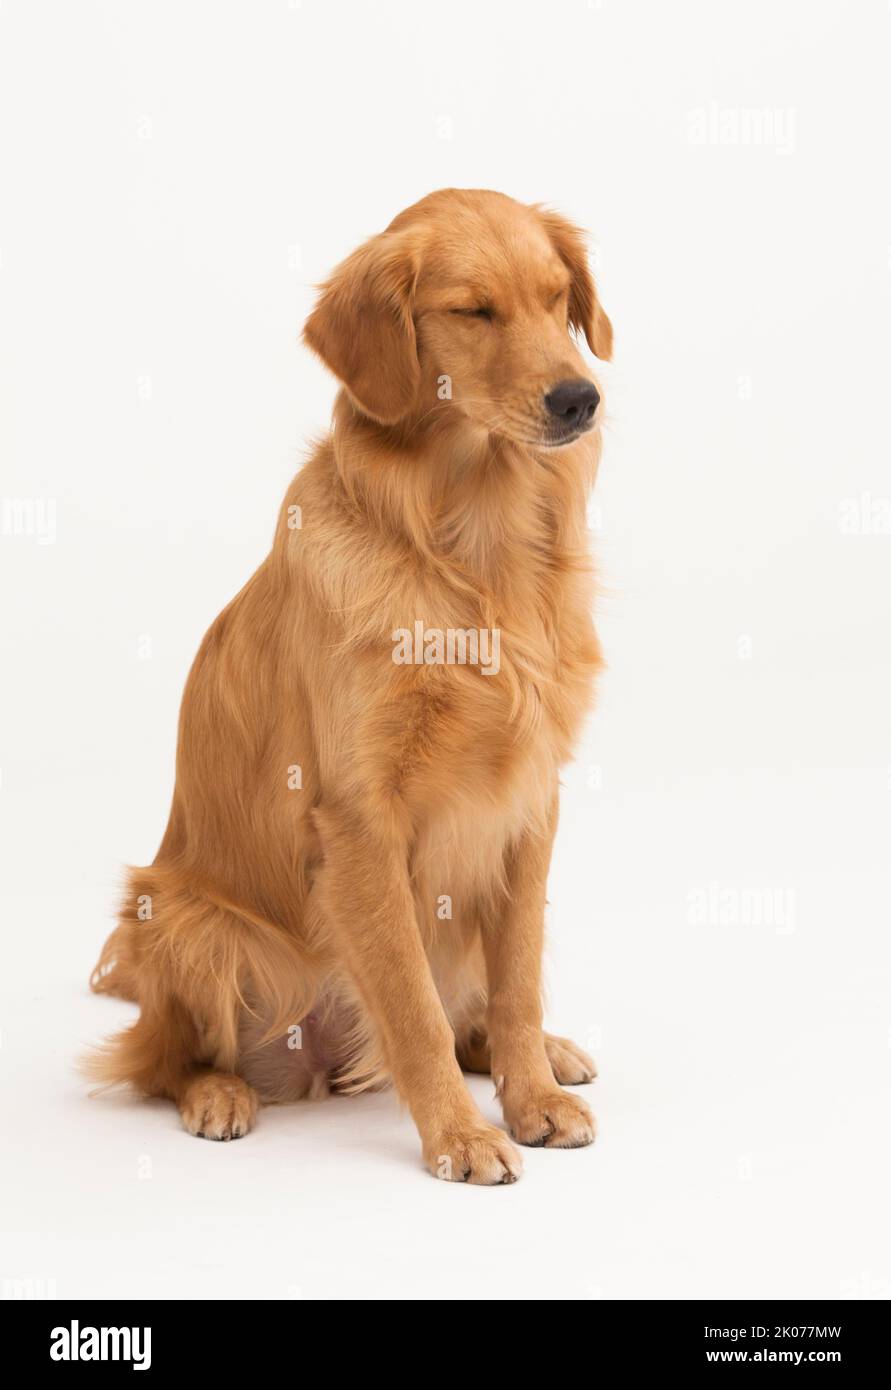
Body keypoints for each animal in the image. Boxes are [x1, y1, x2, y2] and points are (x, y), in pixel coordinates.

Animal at [88, 184, 611, 1184]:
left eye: (556, 297)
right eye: (472, 311)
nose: (580, 397)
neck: (473, 549)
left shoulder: (530, 798)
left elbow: (517, 979)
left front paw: (529, 1095)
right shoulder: (360, 816)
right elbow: (409, 1007)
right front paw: (458, 1137)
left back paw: (539, 1052)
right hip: (187, 922)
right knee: (157, 1059)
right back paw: (217, 1093)